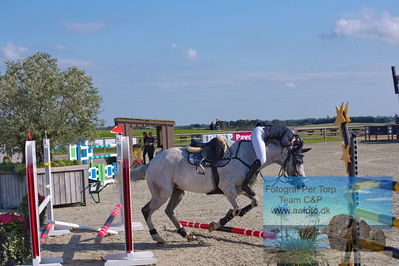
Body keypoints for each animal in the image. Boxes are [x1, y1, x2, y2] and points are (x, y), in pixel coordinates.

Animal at [133, 139, 310, 243]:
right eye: (297, 160)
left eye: (302, 160)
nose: (302, 184)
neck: (249, 155)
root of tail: (151, 162)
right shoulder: (228, 188)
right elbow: (236, 210)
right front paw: (215, 224)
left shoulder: (240, 189)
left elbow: (254, 202)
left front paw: (227, 219)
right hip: (162, 194)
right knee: (146, 210)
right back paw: (157, 236)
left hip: (178, 191)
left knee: (169, 211)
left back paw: (186, 234)